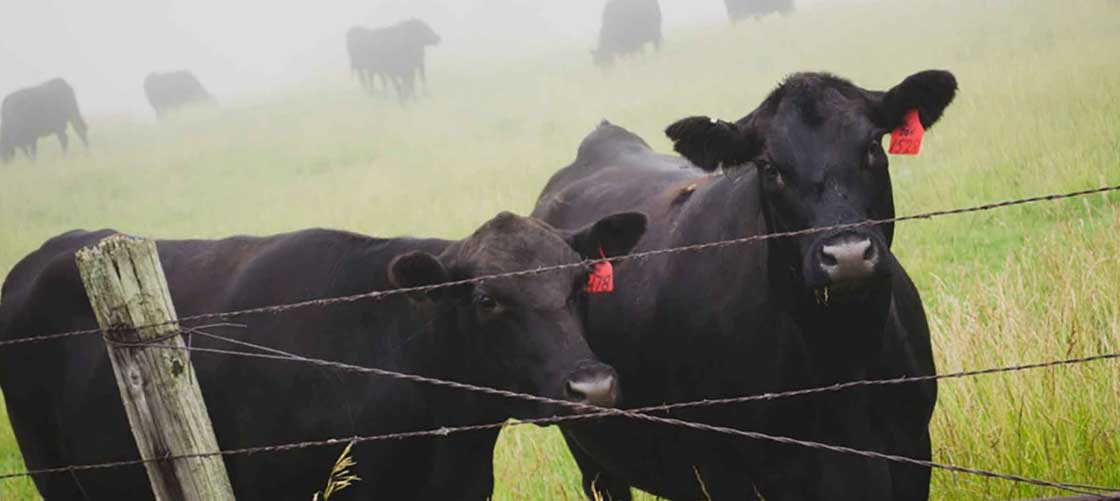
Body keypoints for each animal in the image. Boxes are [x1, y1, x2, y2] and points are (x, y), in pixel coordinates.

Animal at [533, 71, 954, 501]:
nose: (847, 254)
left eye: (871, 146)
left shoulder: (912, 454)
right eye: (770, 168)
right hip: (594, 460)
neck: (843, 359)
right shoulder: (725, 476)